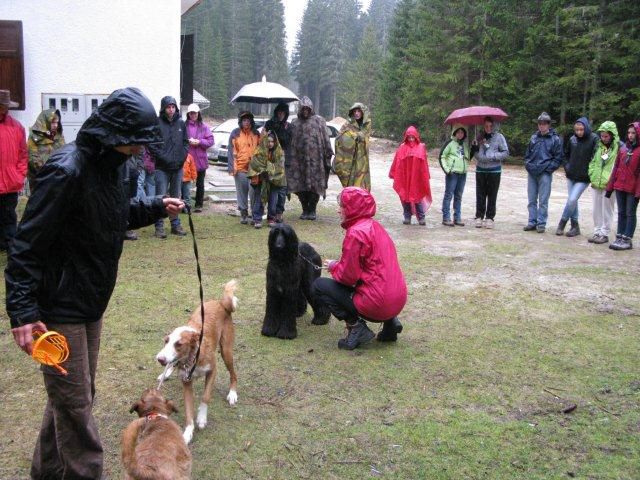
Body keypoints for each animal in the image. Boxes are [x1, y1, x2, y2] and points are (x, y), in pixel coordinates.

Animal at [156, 280, 239, 444]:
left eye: (179, 344)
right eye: (166, 341)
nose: (160, 359)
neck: (192, 358)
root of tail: (220, 303)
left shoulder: (213, 371)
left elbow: (205, 396)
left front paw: (201, 417)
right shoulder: (186, 382)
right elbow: (188, 411)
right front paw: (188, 432)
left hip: (226, 352)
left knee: (234, 374)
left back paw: (232, 393)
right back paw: (167, 372)